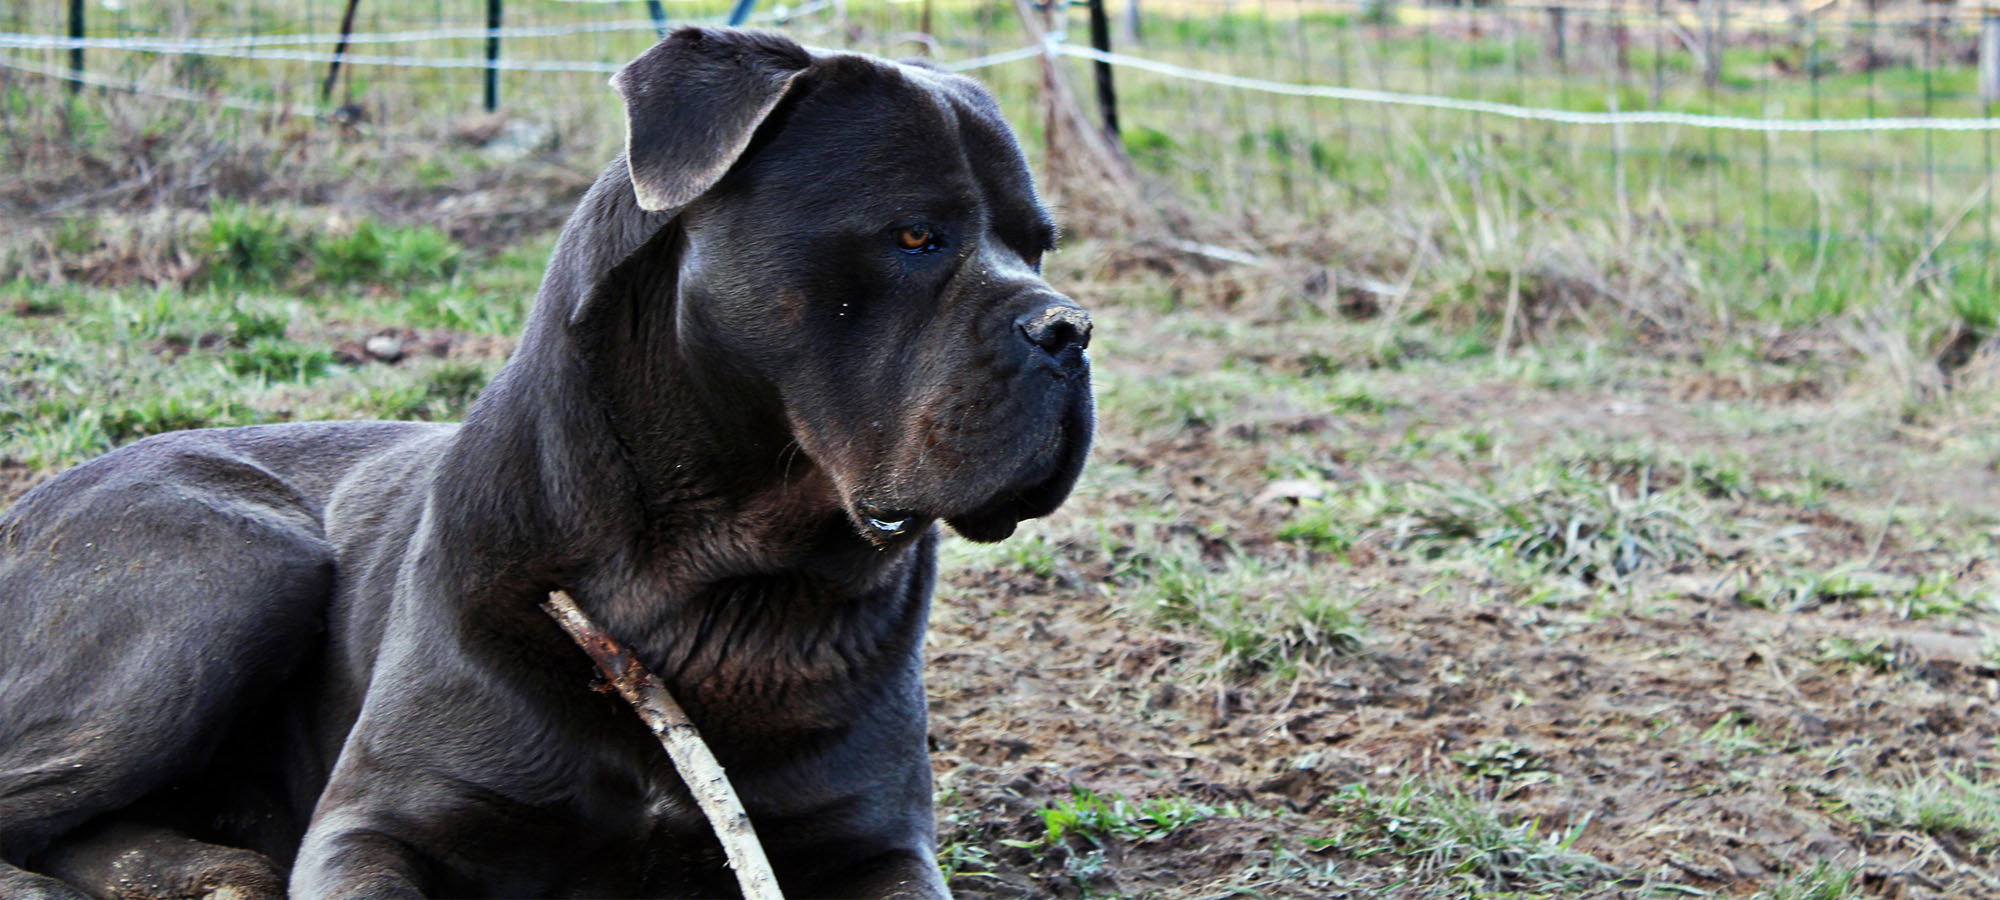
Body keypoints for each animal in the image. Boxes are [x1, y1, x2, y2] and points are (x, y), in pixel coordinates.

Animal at [0, 28, 1096, 900]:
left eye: (1037, 245)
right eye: (915, 234)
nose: (1070, 330)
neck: (710, 576)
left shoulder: (874, 847)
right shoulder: (375, 824)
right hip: (235, 565)